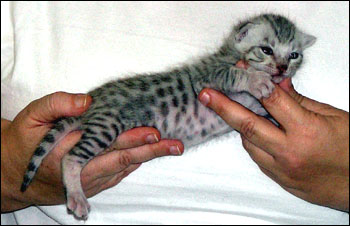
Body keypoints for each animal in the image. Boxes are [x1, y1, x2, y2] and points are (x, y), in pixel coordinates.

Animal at [21, 13, 318, 219]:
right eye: (266, 49)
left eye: (294, 55)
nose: (282, 68)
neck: (230, 54)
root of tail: (94, 100)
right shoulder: (208, 76)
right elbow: (235, 73)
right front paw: (257, 81)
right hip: (107, 126)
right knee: (70, 157)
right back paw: (77, 197)